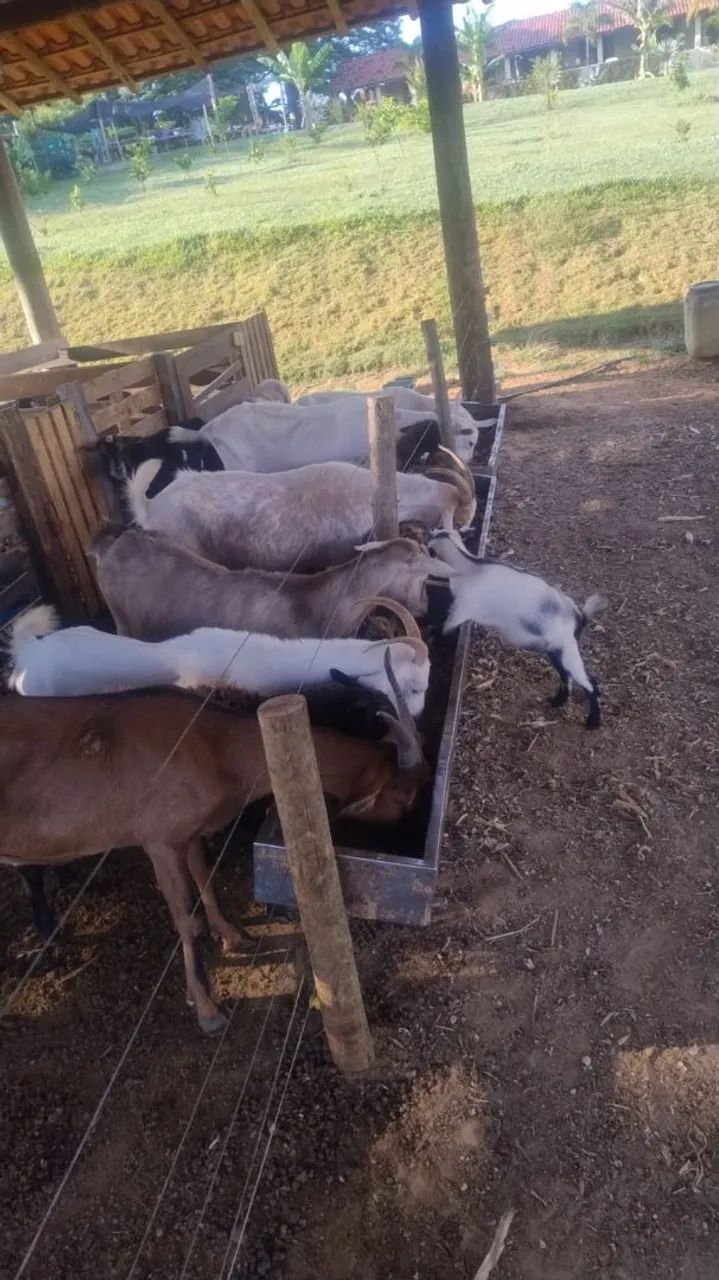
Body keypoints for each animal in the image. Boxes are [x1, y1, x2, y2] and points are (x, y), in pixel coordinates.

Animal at [0, 681, 426, 1031]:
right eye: (404, 797)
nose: (409, 837)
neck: (215, 745)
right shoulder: (159, 840)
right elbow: (187, 921)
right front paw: (207, 1009)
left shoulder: (190, 832)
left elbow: (207, 878)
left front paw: (235, 936)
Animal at [428, 531, 605, 729]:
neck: (470, 568)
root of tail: (579, 615)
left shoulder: (462, 609)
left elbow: (445, 628)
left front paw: (433, 639)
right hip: (556, 649)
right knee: (566, 676)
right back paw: (557, 701)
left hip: (567, 648)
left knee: (589, 682)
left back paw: (593, 721)